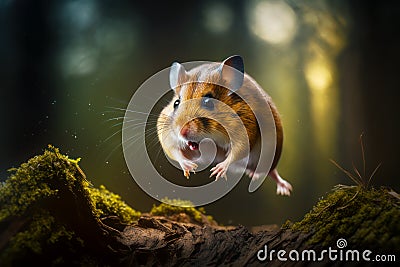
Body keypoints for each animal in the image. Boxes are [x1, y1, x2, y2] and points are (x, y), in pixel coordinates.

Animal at [158, 55, 292, 196]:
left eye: (208, 102)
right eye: (176, 103)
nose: (182, 132)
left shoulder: (244, 132)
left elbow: (235, 152)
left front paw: (218, 170)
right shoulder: (166, 136)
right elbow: (174, 151)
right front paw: (190, 167)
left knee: (271, 171)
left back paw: (285, 189)